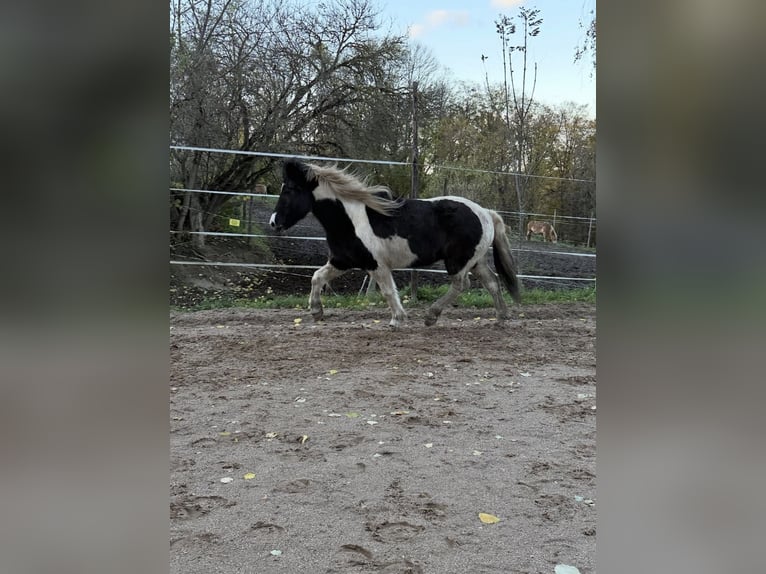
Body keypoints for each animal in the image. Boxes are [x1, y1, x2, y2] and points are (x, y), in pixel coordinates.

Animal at [269, 159, 522, 328]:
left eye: (290, 189)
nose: (274, 222)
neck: (351, 219)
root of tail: (486, 213)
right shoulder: (342, 260)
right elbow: (316, 277)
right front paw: (316, 312)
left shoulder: (377, 265)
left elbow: (389, 291)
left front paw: (397, 320)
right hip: (475, 260)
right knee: (492, 283)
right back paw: (501, 317)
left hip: (459, 261)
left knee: (462, 285)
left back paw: (431, 316)